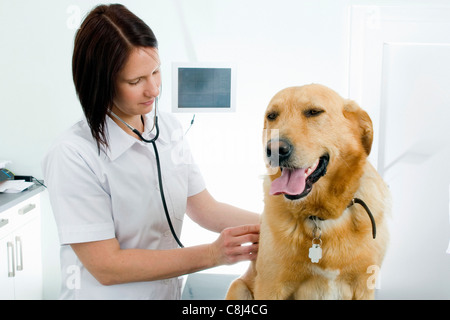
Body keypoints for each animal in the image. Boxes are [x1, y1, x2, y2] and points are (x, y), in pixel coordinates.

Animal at [227, 84, 388, 298]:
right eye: (272, 116)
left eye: (314, 112)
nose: (275, 149)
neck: (320, 216)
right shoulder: (271, 286)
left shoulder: (364, 286)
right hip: (238, 286)